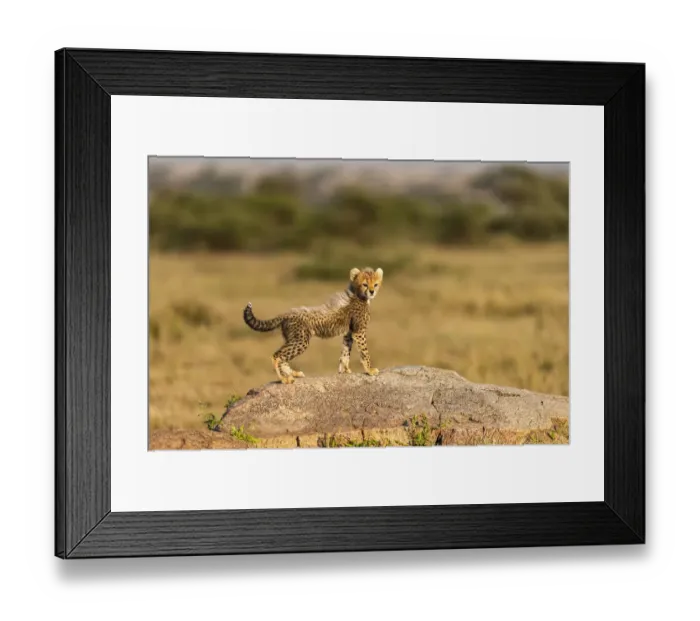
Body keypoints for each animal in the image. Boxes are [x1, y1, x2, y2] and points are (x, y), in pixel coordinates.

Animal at [243, 267, 383, 384]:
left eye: (375, 284)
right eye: (365, 284)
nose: (372, 292)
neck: (358, 295)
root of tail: (287, 313)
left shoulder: (349, 332)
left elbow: (345, 352)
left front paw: (344, 370)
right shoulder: (359, 332)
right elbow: (364, 352)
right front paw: (369, 370)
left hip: (292, 339)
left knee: (283, 356)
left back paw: (293, 373)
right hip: (301, 340)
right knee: (277, 356)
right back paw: (284, 379)